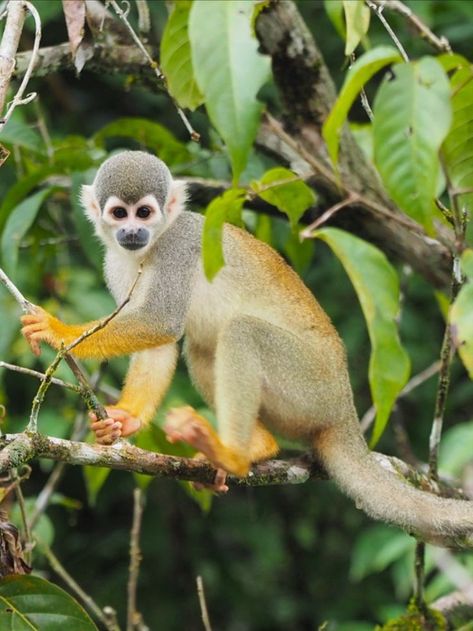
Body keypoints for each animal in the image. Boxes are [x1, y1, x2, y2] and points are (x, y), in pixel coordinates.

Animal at [22, 151, 472, 544]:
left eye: (144, 213)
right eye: (120, 214)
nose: (132, 232)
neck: (151, 246)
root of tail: (345, 411)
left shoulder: (179, 247)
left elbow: (160, 323)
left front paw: (58, 330)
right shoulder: (114, 263)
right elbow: (160, 345)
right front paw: (125, 420)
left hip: (311, 386)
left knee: (241, 331)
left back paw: (233, 454)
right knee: (203, 349)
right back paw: (257, 447)